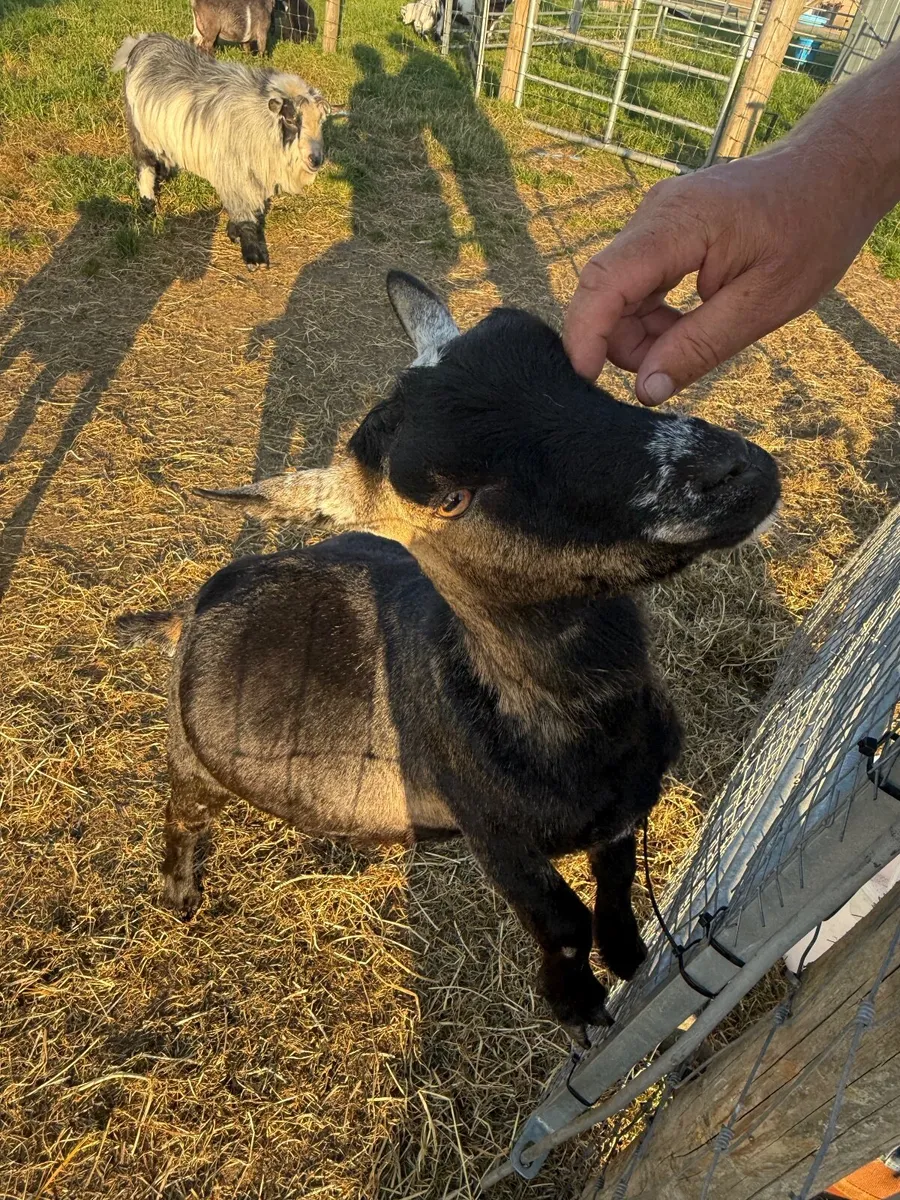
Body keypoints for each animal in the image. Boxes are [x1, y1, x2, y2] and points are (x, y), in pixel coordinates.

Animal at [111, 33, 329, 269]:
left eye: (321, 121)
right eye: (290, 119)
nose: (316, 159)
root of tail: (142, 41)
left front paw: (235, 232)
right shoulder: (234, 169)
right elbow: (243, 207)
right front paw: (253, 254)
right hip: (140, 128)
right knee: (145, 164)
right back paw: (149, 203)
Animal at [116, 272, 780, 1042]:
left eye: (561, 356)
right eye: (451, 498)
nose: (734, 473)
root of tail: (188, 612)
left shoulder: (624, 811)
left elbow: (614, 882)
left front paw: (627, 955)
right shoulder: (492, 833)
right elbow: (562, 922)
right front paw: (577, 1003)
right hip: (191, 761)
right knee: (182, 812)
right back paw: (179, 891)